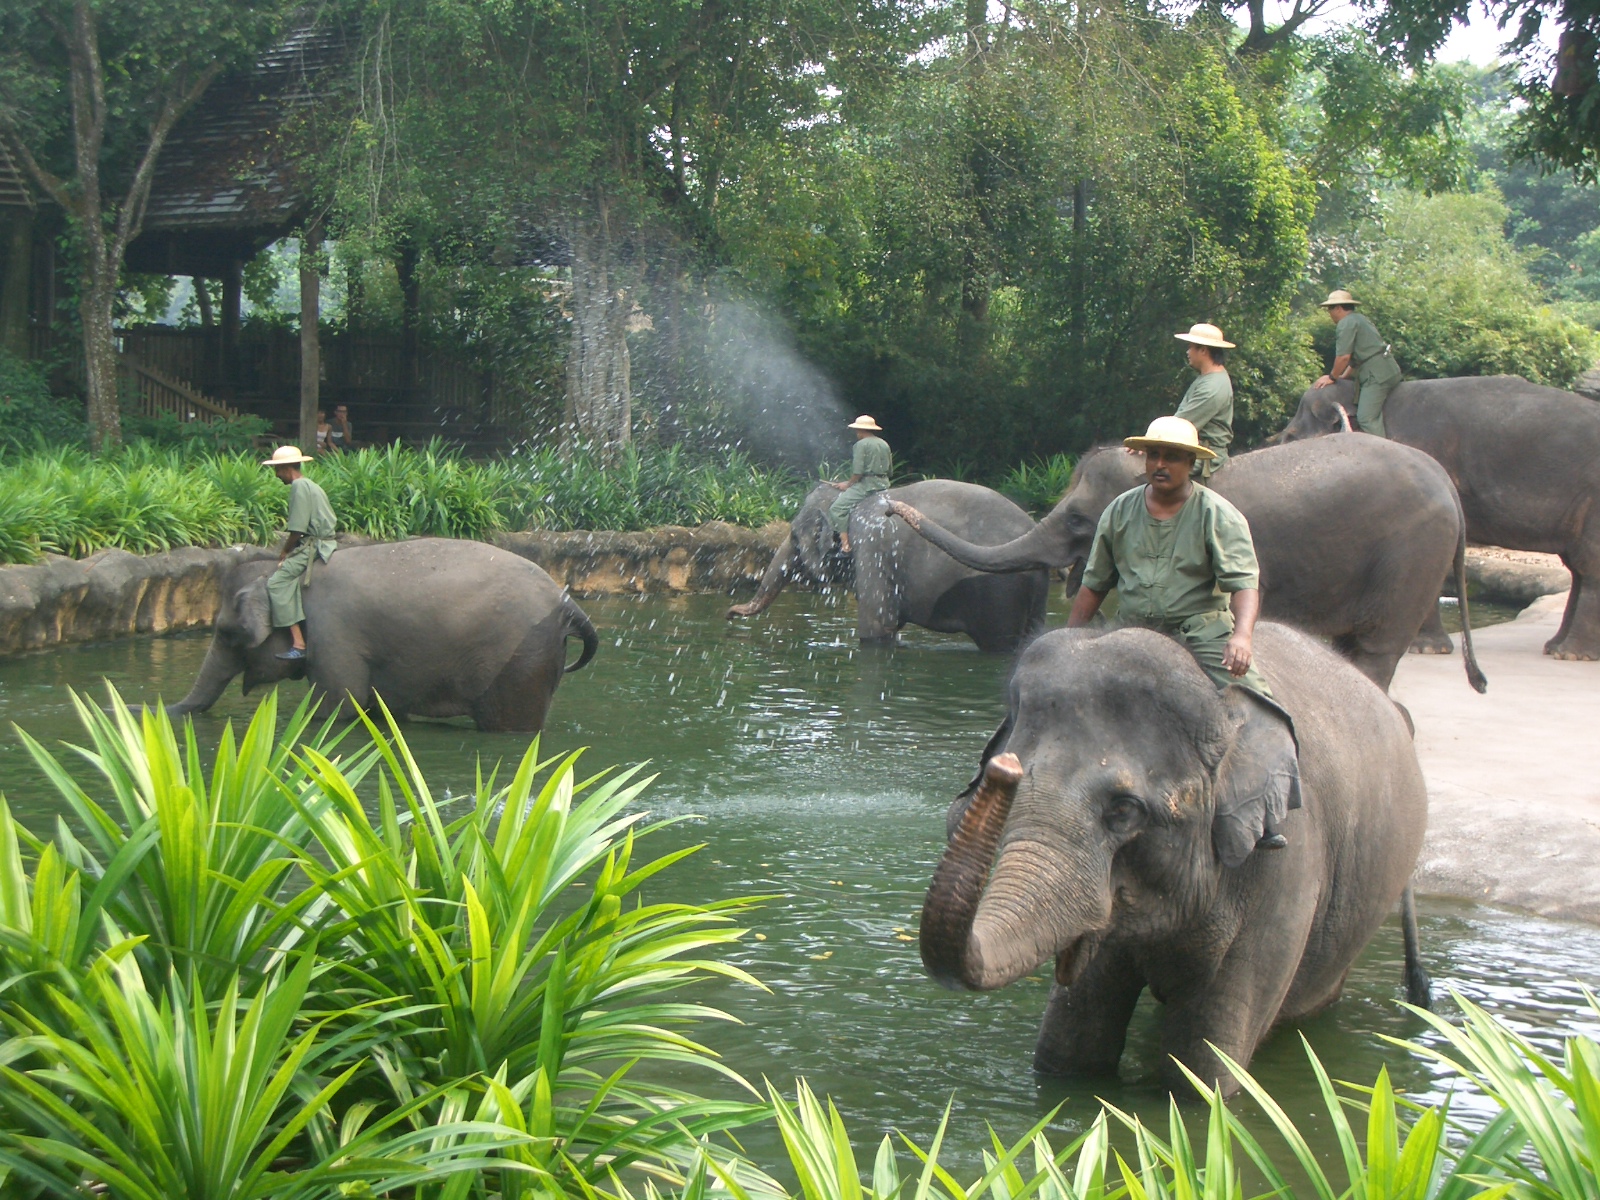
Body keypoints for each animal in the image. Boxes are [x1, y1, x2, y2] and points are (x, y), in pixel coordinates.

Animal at [160, 538, 598, 732]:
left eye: (227, 633)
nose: (151, 708)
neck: (284, 575)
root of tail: (568, 605)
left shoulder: (333, 635)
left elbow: (338, 706)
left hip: (517, 661)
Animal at [919, 621, 1430, 1095]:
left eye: (1124, 811)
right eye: (991, 778)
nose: (1002, 770)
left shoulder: (1289, 865)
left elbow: (1203, 1076)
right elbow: (1071, 1051)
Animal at [1274, 376, 1600, 660]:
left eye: (1291, 437)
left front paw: (1425, 649)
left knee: (1589, 567)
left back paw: (1571, 654)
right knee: (1578, 569)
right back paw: (1556, 647)